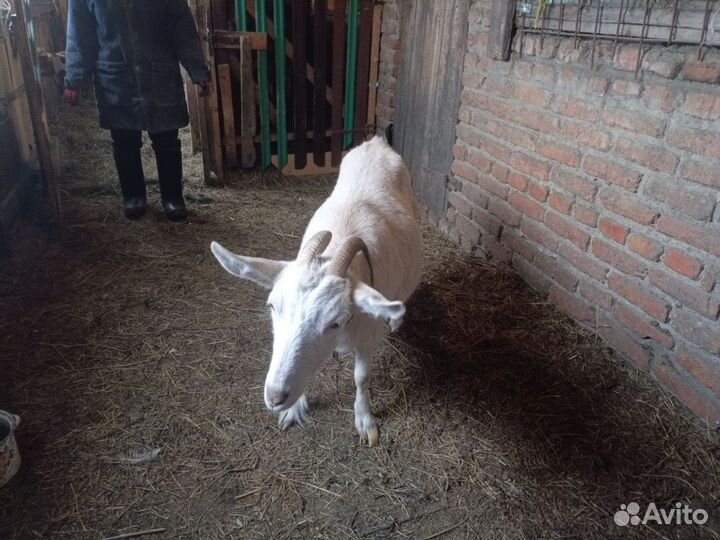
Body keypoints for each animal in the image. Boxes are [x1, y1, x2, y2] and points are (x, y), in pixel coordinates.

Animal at [210, 136, 422, 445]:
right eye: (272, 307)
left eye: (335, 321)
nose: (275, 397)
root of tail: (376, 141)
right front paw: (294, 409)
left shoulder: (367, 336)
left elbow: (361, 377)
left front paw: (365, 420)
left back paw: (396, 319)